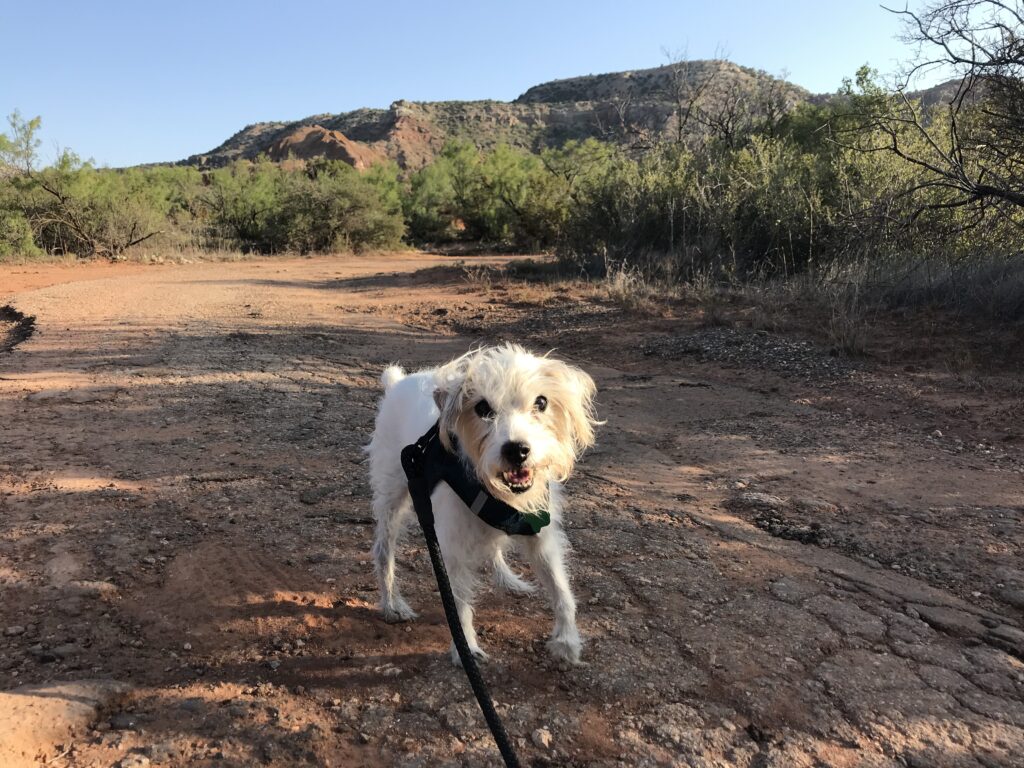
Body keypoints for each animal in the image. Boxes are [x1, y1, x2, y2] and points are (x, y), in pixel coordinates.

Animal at [368, 346, 598, 663]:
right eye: (482, 408)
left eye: (541, 402)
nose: (517, 450)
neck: (498, 493)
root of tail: (399, 382)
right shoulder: (452, 549)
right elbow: (459, 604)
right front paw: (465, 648)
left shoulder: (541, 537)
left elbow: (561, 591)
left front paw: (566, 640)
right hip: (393, 497)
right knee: (383, 549)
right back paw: (392, 603)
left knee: (494, 547)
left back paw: (509, 581)